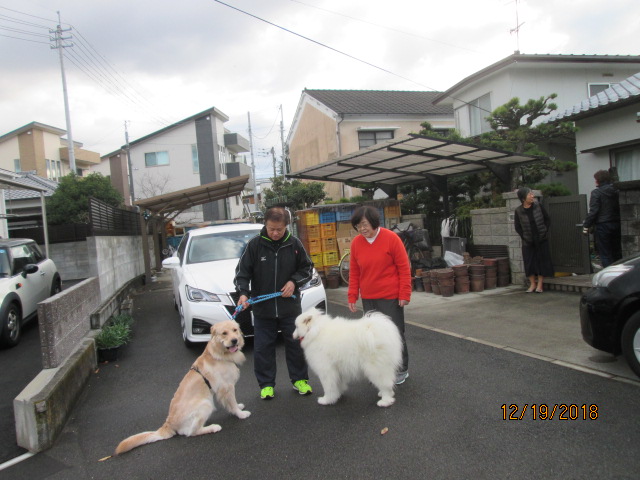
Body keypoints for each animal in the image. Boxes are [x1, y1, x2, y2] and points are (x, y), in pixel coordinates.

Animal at [114, 320, 250, 455]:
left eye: (235, 330)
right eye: (224, 333)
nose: (234, 340)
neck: (219, 354)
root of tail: (168, 424)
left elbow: (233, 403)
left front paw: (239, 407)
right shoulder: (226, 387)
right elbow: (232, 403)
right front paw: (240, 414)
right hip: (206, 404)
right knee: (191, 432)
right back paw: (213, 427)